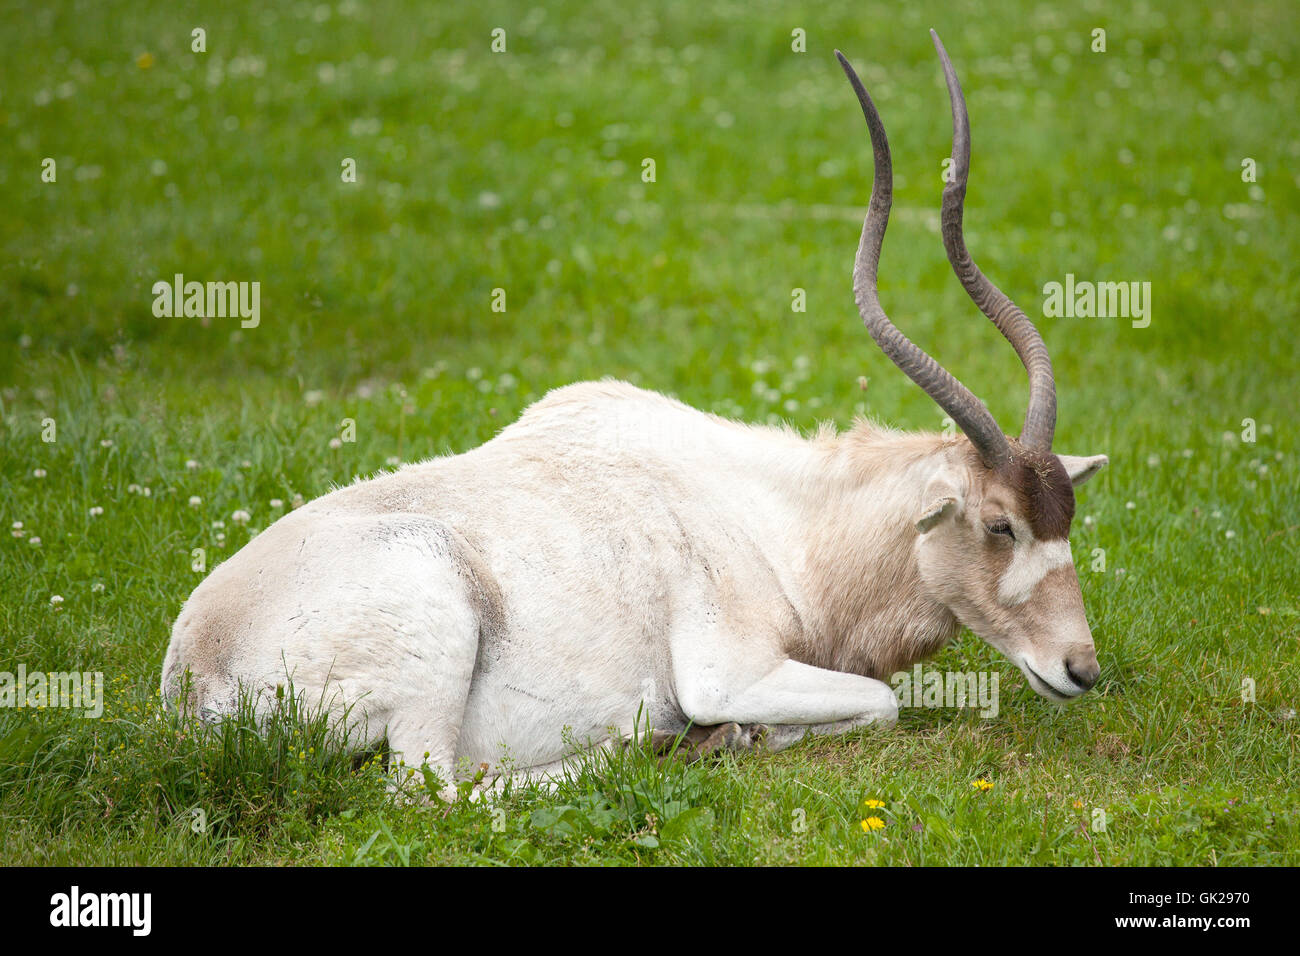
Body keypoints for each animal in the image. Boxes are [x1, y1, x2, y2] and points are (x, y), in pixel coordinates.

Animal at [162, 31, 1107, 790]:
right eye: (999, 525)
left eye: (1065, 518)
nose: (1082, 670)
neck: (778, 523)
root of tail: (193, 671)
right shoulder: (731, 671)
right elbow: (882, 702)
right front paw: (731, 734)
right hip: (437, 630)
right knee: (433, 789)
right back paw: (653, 744)